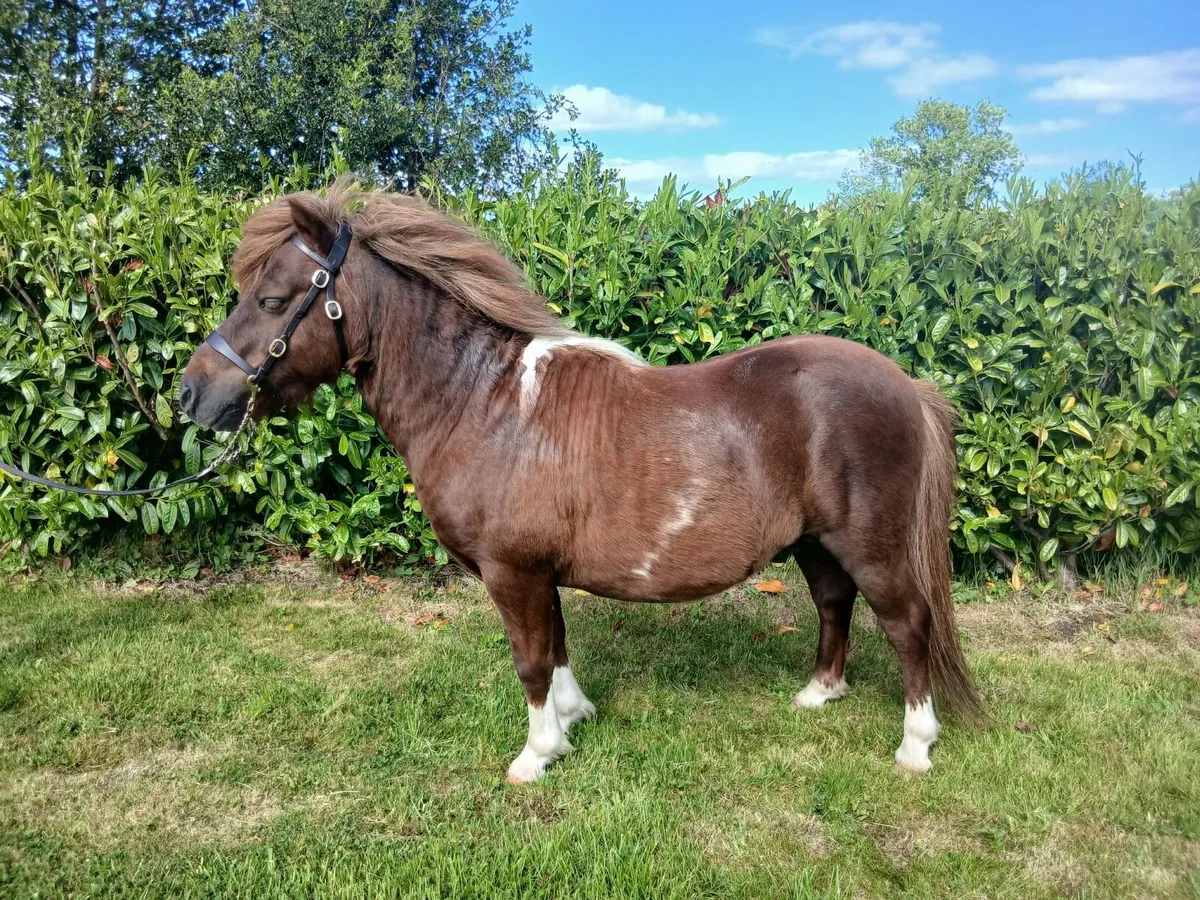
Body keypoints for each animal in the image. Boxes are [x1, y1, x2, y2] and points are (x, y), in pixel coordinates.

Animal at [179, 181, 982, 783]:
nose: (193, 395)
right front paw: (572, 721)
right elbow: (558, 647)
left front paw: (537, 755)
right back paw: (819, 693)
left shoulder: (511, 570)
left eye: (273, 300)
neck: (483, 401)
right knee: (832, 603)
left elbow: (530, 659)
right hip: (816, 542)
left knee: (908, 625)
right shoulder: (537, 571)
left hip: (872, 546)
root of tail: (908, 384)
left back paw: (915, 745)